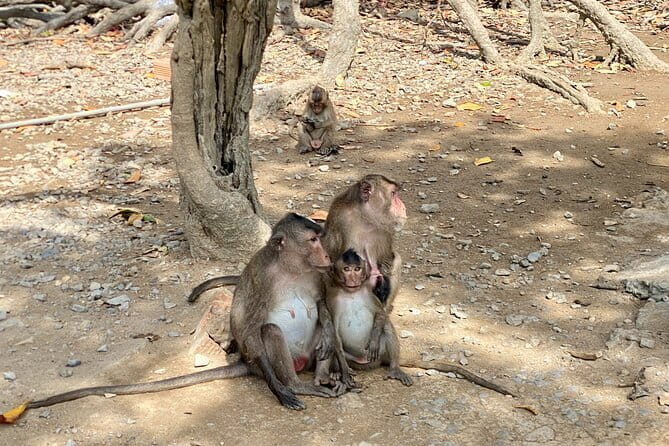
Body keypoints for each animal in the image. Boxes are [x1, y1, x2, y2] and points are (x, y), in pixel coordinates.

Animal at [1, 214, 342, 421]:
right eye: (313, 241)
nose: (327, 256)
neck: (292, 268)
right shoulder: (260, 275)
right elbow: (245, 327)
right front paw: (280, 390)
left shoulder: (316, 275)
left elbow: (322, 307)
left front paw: (328, 335)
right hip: (270, 361)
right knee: (269, 331)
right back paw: (296, 385)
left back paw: (327, 375)